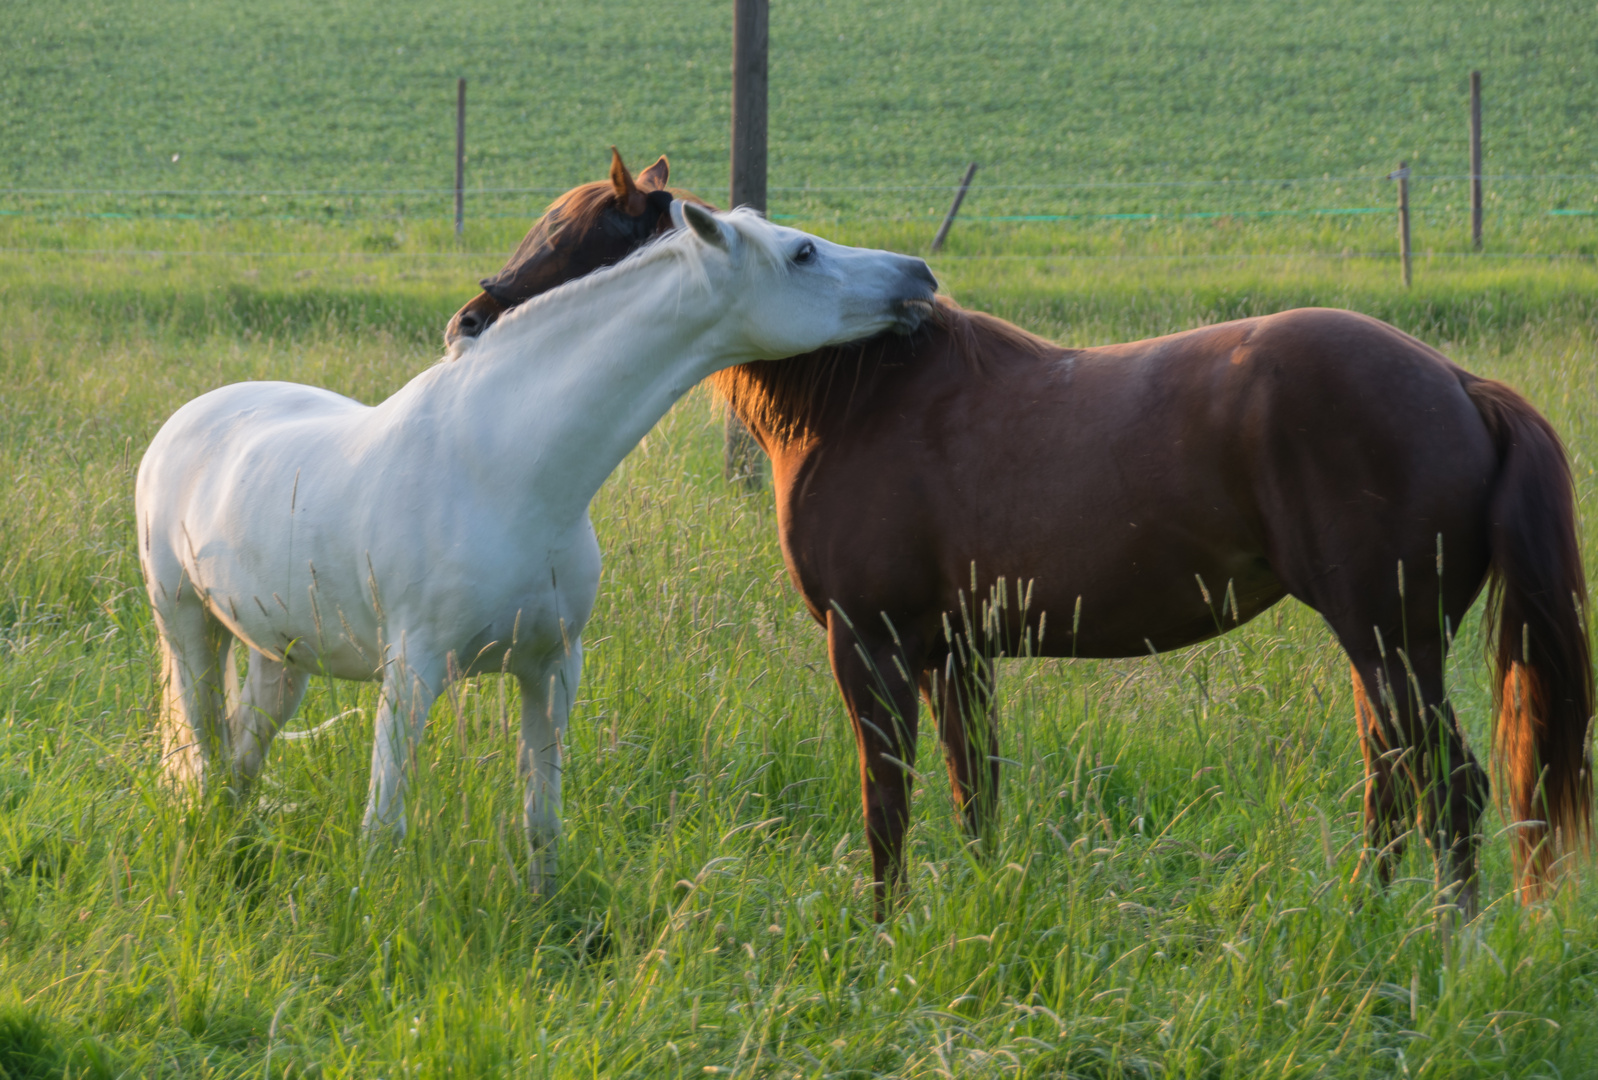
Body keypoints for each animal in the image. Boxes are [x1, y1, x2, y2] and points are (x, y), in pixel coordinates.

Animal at [140, 206, 933, 888]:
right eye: (802, 253)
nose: (920, 274)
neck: (507, 466)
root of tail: (185, 419)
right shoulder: (413, 673)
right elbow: (383, 825)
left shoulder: (552, 669)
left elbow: (542, 823)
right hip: (188, 629)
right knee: (207, 748)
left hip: (281, 657)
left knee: (242, 757)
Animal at [719, 303, 1591, 920]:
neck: (864, 398)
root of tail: (1460, 383)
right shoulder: (956, 653)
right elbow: (975, 790)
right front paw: (985, 901)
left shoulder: (873, 643)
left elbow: (888, 803)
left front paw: (886, 928)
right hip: (1382, 650)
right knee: (1395, 783)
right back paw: (1360, 918)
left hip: (1393, 646)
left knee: (1451, 789)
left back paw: (1451, 948)